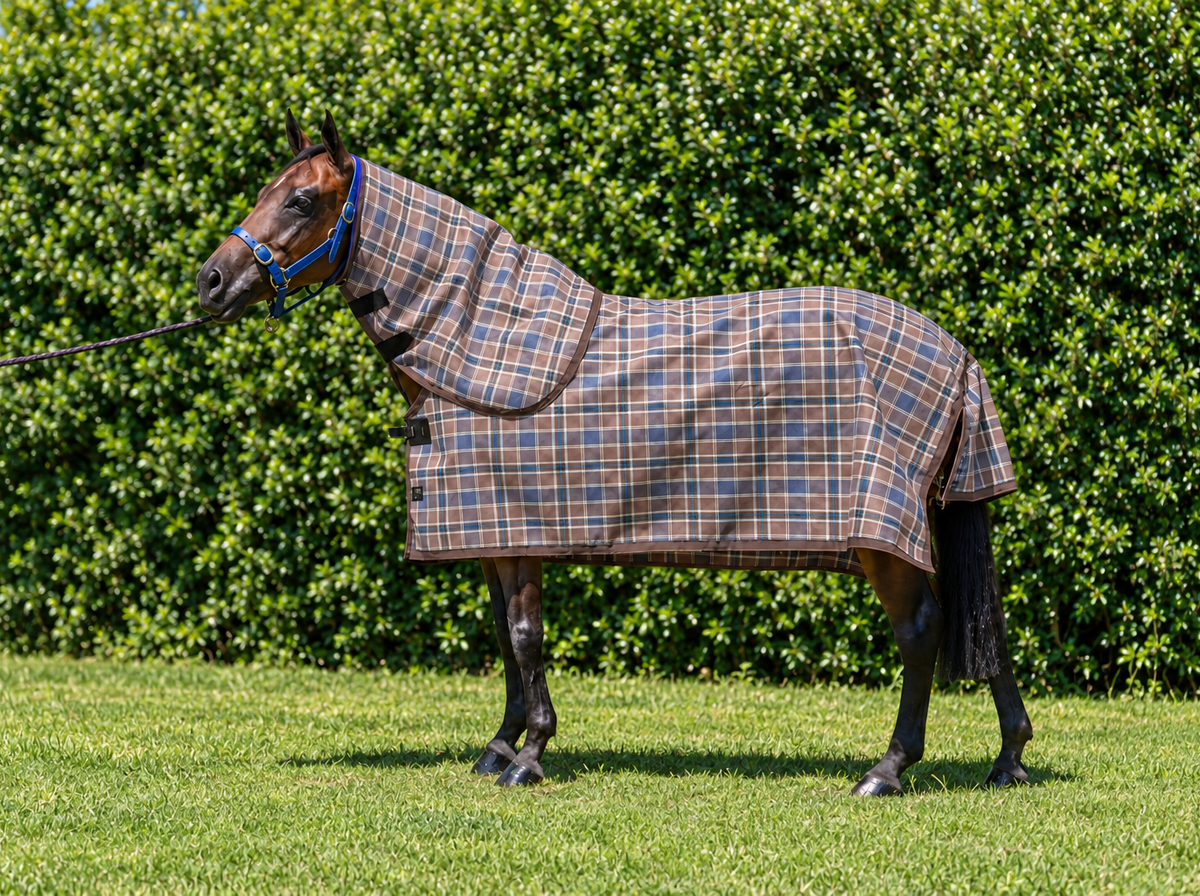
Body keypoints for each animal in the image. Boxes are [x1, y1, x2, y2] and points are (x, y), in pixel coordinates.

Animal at [197, 110, 1033, 794]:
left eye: (301, 201)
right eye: (268, 190)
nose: (210, 281)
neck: (477, 342)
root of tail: (955, 354)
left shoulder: (519, 534)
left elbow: (525, 637)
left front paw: (531, 756)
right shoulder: (494, 534)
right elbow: (505, 637)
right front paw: (500, 747)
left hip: (882, 537)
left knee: (921, 632)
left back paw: (887, 770)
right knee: (980, 623)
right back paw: (1009, 759)